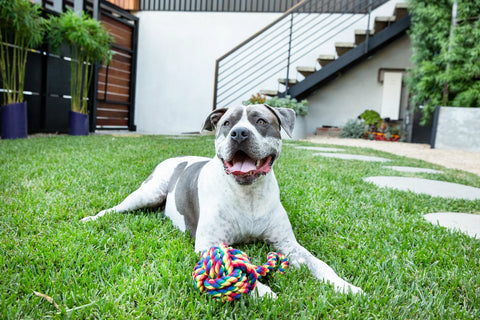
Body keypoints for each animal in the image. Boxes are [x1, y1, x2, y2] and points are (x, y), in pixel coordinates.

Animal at [81, 104, 360, 298]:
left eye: (261, 121)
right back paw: (91, 218)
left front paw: (345, 286)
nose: (239, 133)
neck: (248, 194)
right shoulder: (209, 244)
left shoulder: (287, 244)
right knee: (114, 209)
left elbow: (320, 264)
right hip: (148, 192)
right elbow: (235, 271)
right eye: (226, 123)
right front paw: (262, 291)